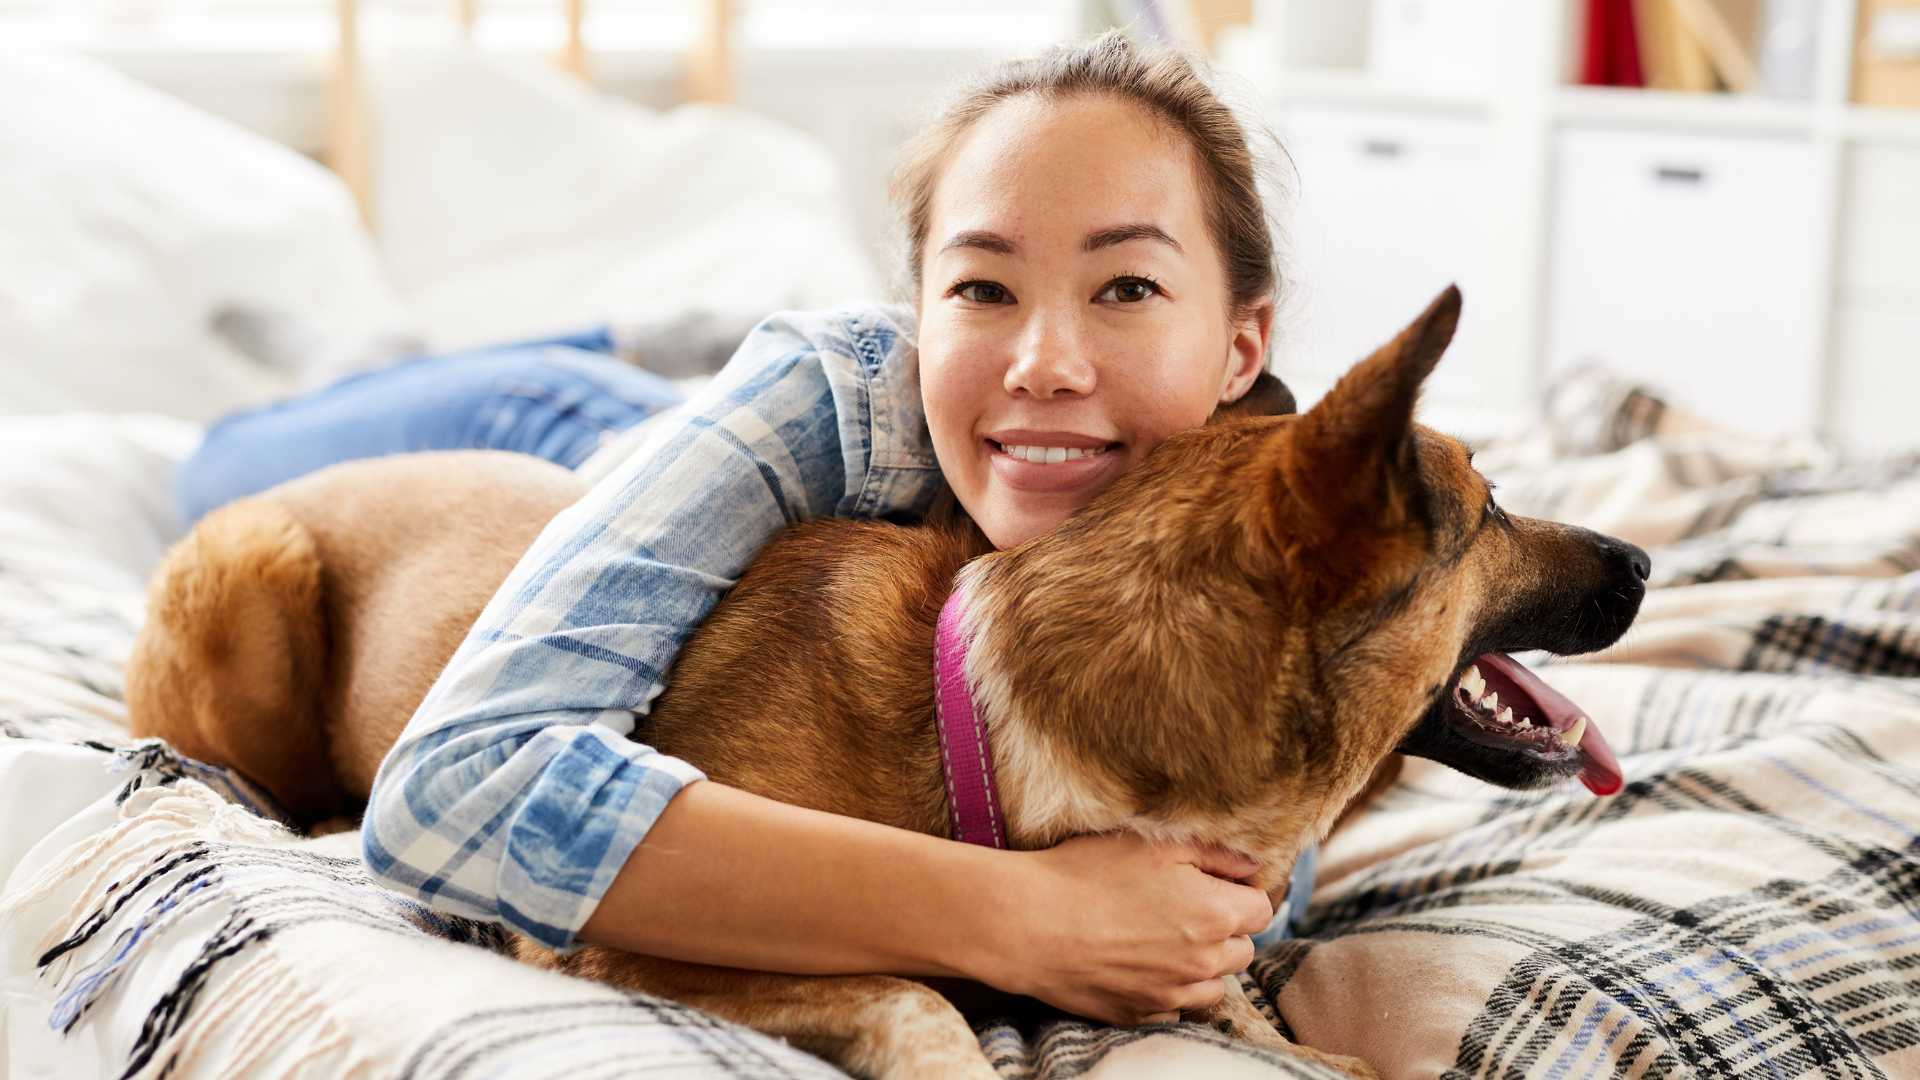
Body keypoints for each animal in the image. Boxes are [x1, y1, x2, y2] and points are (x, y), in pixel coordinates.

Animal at [123, 288, 1651, 1076]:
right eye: (1493, 506)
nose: (1643, 560)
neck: (995, 728)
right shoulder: (623, 947)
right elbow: (918, 999)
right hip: (251, 579)